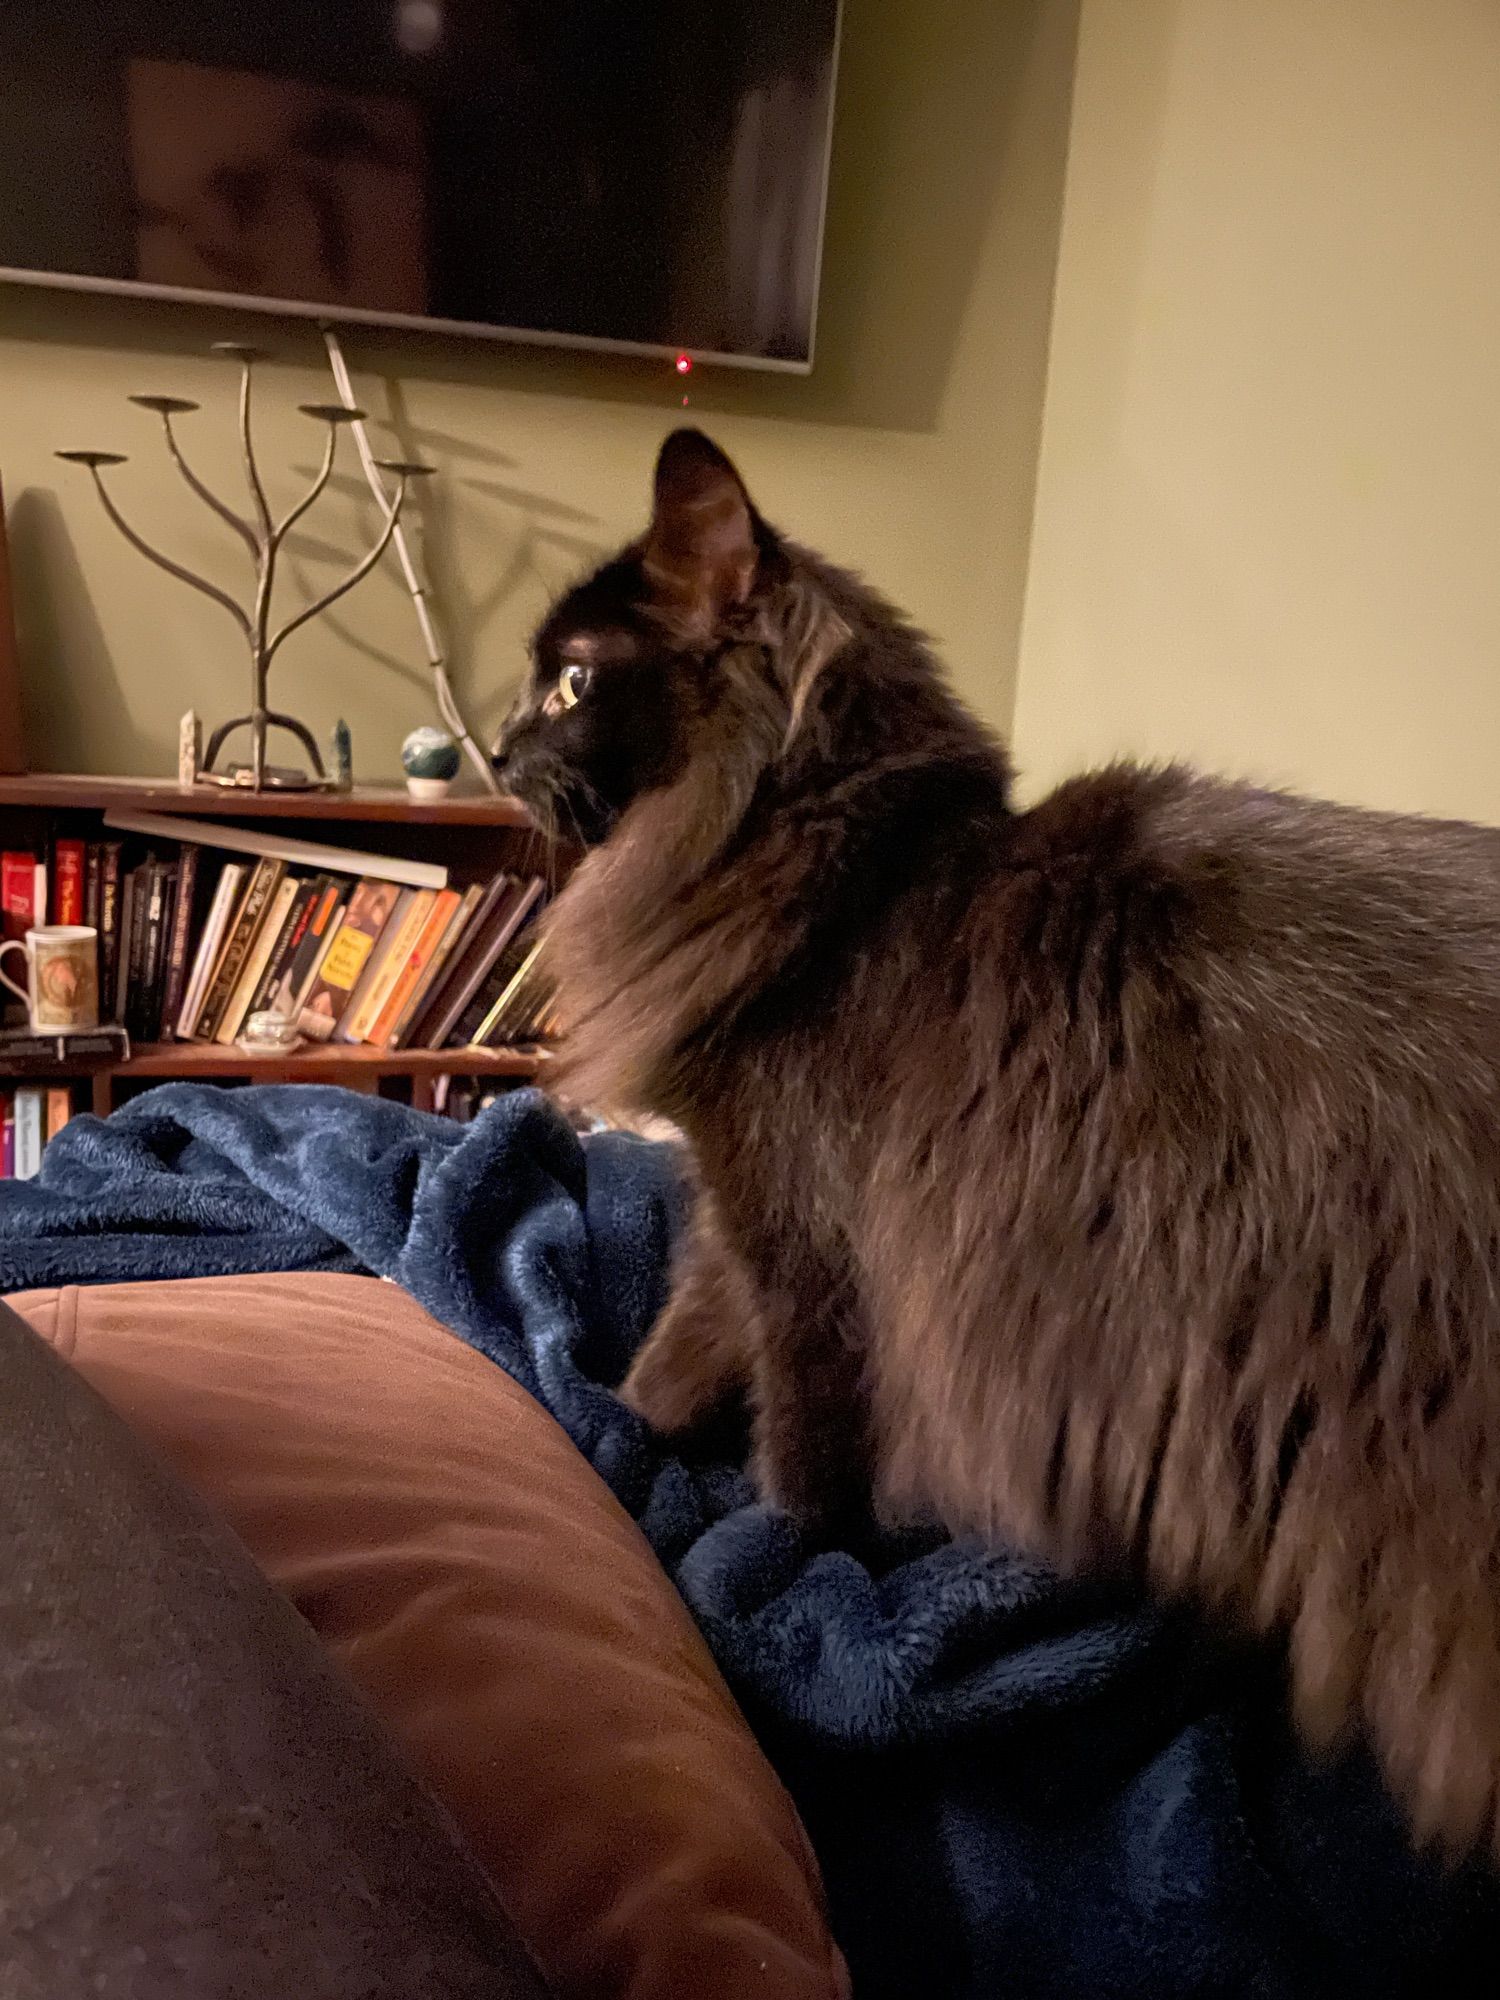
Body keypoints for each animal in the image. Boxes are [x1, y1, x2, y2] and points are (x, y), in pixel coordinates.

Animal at [494, 422, 1500, 1856]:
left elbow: (797, 1456)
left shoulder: (803, 1240)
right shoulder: (743, 1214)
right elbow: (678, 1353)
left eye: (572, 680)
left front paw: (761, 1547)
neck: (837, 879)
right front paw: (617, 1423)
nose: (493, 742)